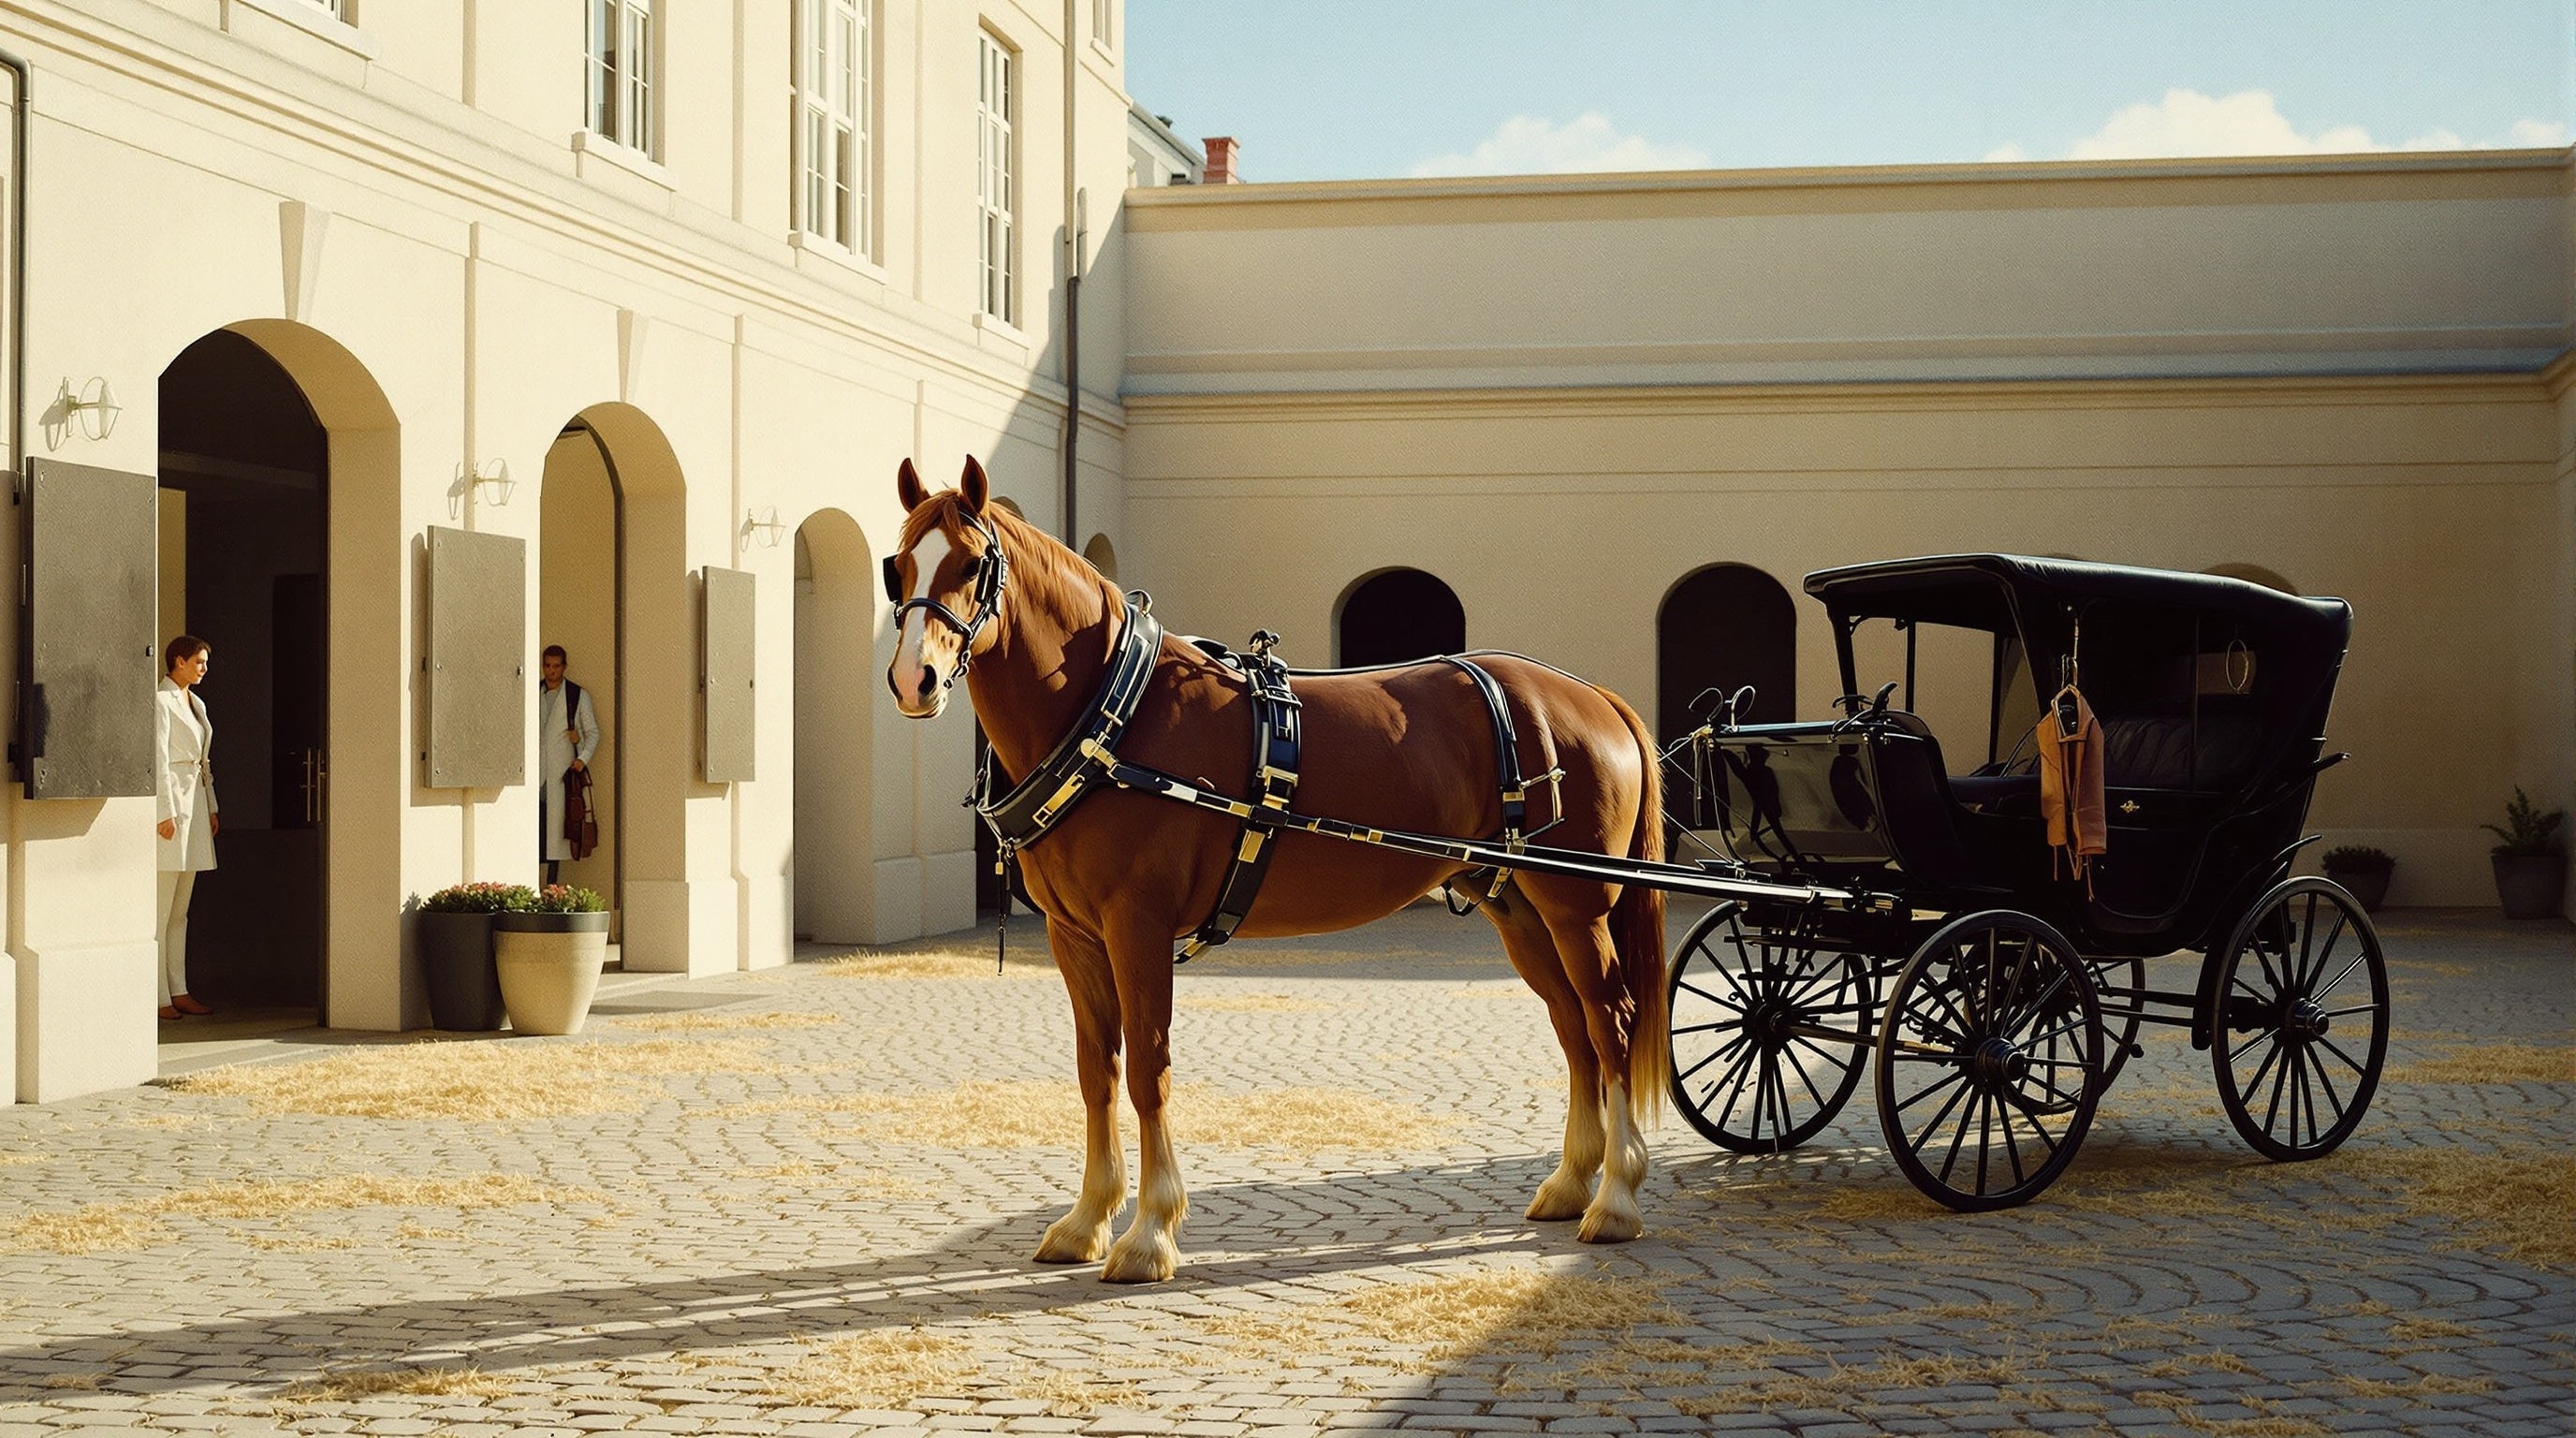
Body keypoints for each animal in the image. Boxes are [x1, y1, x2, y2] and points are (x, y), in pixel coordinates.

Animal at [883, 456, 1667, 1283]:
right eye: (898, 566)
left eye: (974, 564)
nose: (914, 680)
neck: (1112, 714)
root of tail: (1590, 695)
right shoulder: (1076, 936)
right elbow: (1097, 1070)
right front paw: (1087, 1218)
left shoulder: (1137, 926)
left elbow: (1148, 1068)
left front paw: (1149, 1232)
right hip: (1519, 907)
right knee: (1574, 1027)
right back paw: (1571, 1181)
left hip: (1577, 905)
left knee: (1610, 1022)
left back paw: (1615, 1198)